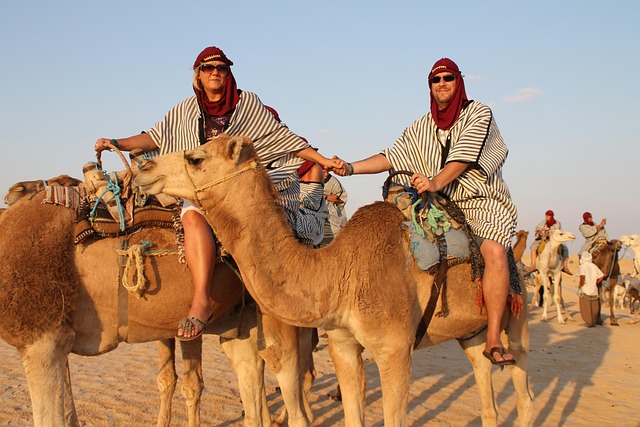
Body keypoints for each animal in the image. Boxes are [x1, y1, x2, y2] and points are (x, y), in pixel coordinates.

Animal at [133, 135, 534, 427]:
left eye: (195, 158)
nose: (143, 169)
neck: (339, 270)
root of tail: (516, 252)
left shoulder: (394, 348)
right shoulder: (342, 343)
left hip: (516, 318)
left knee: (524, 392)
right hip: (470, 332)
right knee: (484, 382)